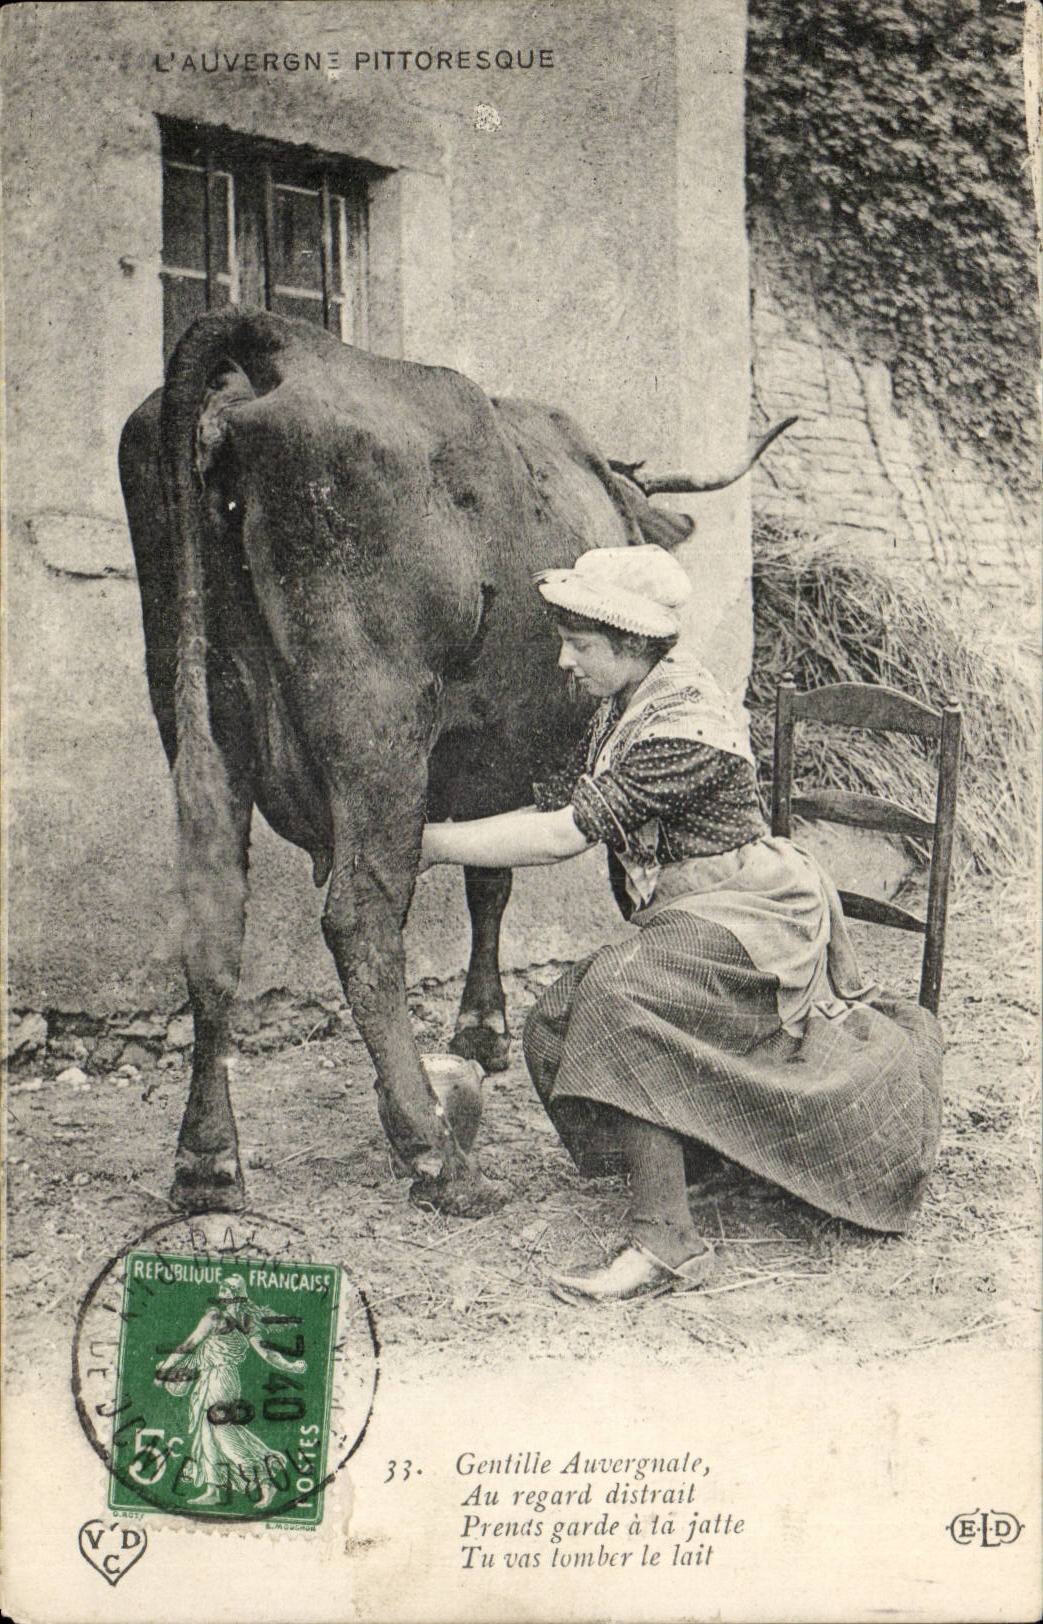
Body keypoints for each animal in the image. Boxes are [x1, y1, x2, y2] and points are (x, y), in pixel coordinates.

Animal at [119, 309, 792, 1217]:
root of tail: (273, 345)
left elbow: (487, 875)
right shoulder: (497, 752)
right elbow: (493, 886)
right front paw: (483, 1030)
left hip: (195, 707)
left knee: (214, 918)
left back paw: (208, 1163)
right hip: (376, 719)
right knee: (360, 918)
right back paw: (435, 1151)